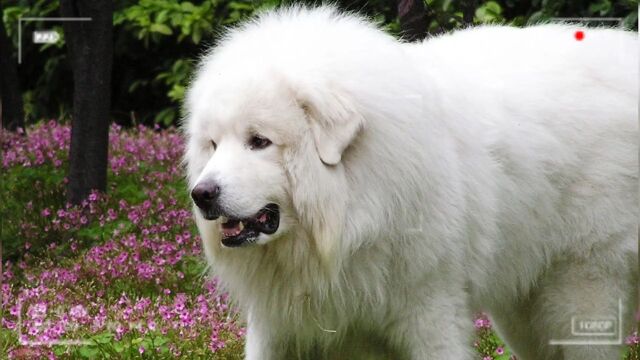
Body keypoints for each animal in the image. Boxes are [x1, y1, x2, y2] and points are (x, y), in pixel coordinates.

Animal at [182, 6, 636, 360]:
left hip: (583, 288)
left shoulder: (430, 313)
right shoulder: (278, 325)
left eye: (259, 141)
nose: (201, 195)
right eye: (213, 144)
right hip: (523, 307)